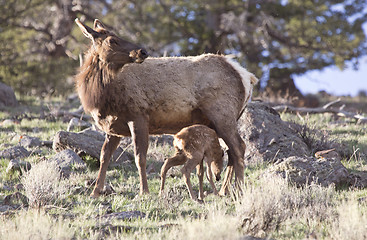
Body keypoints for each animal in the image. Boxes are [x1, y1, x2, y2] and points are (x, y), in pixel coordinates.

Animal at [75, 18, 258, 198]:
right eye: (112, 40)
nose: (142, 51)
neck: (101, 96)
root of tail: (247, 77)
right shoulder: (114, 127)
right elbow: (104, 156)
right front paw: (95, 192)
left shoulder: (138, 115)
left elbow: (140, 157)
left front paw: (144, 191)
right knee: (230, 151)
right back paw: (224, 190)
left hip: (222, 114)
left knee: (239, 147)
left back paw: (239, 189)